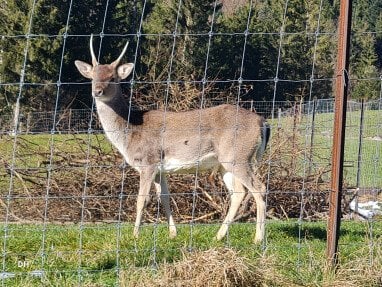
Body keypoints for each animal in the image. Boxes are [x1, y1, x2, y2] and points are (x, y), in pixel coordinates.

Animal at [74, 35, 270, 243]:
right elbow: (165, 197)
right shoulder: (160, 169)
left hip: (238, 156)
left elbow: (142, 199)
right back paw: (219, 236)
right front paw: (172, 233)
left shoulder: (148, 161)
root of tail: (262, 122)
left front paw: (135, 235)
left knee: (258, 188)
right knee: (238, 192)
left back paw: (258, 239)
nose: (97, 91)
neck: (130, 130)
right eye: (92, 77)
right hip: (227, 162)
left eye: (112, 78)